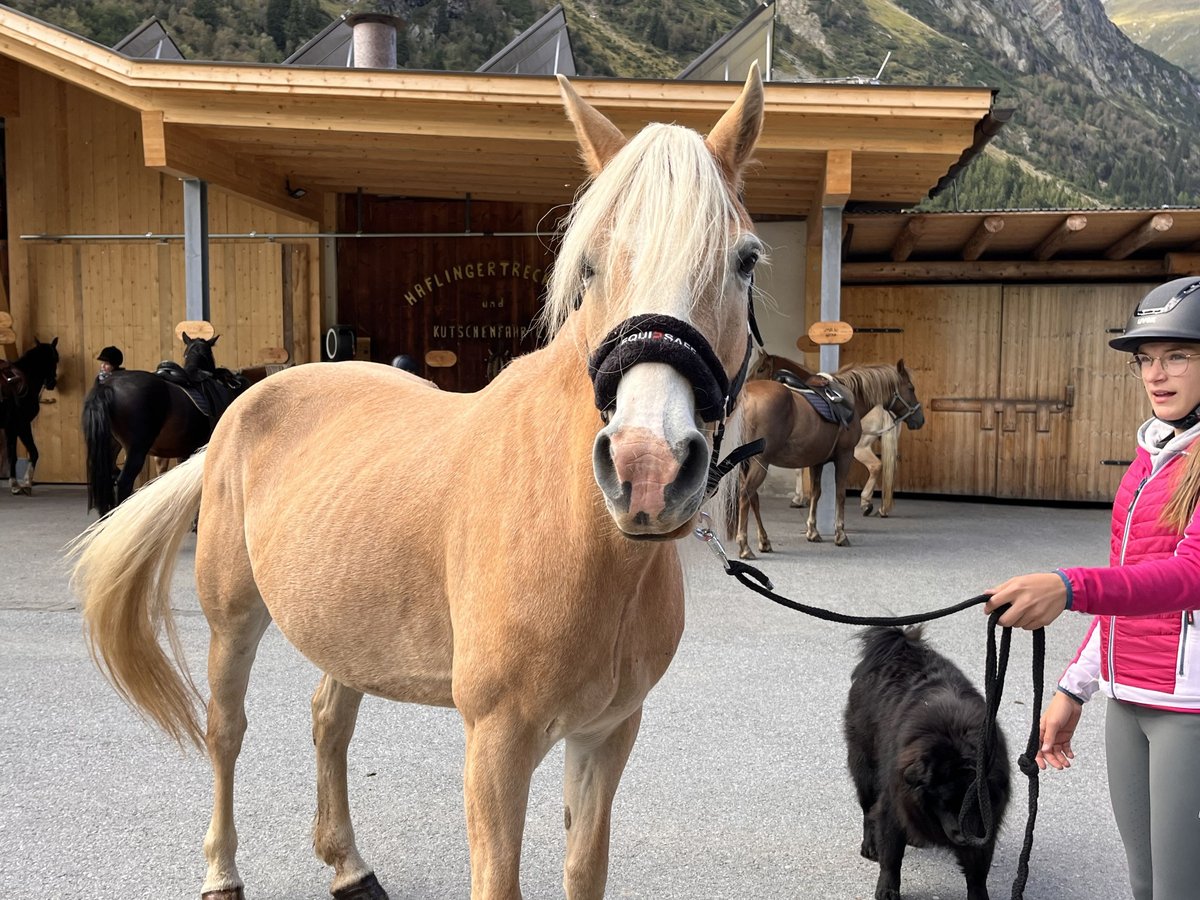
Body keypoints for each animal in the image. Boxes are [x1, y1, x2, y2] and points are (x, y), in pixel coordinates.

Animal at [0, 338, 59, 496]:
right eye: (55, 359)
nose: (51, 383)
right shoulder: (21, 425)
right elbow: (30, 453)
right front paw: (22, 484)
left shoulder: (11, 428)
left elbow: (14, 454)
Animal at [734, 360, 921, 556]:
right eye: (911, 388)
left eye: (760, 368)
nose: (919, 418)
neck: (851, 399)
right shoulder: (845, 456)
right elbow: (840, 494)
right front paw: (840, 534)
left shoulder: (817, 461)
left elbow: (816, 493)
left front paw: (813, 531)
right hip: (760, 463)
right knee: (746, 495)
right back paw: (745, 546)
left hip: (746, 464)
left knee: (752, 497)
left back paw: (764, 540)